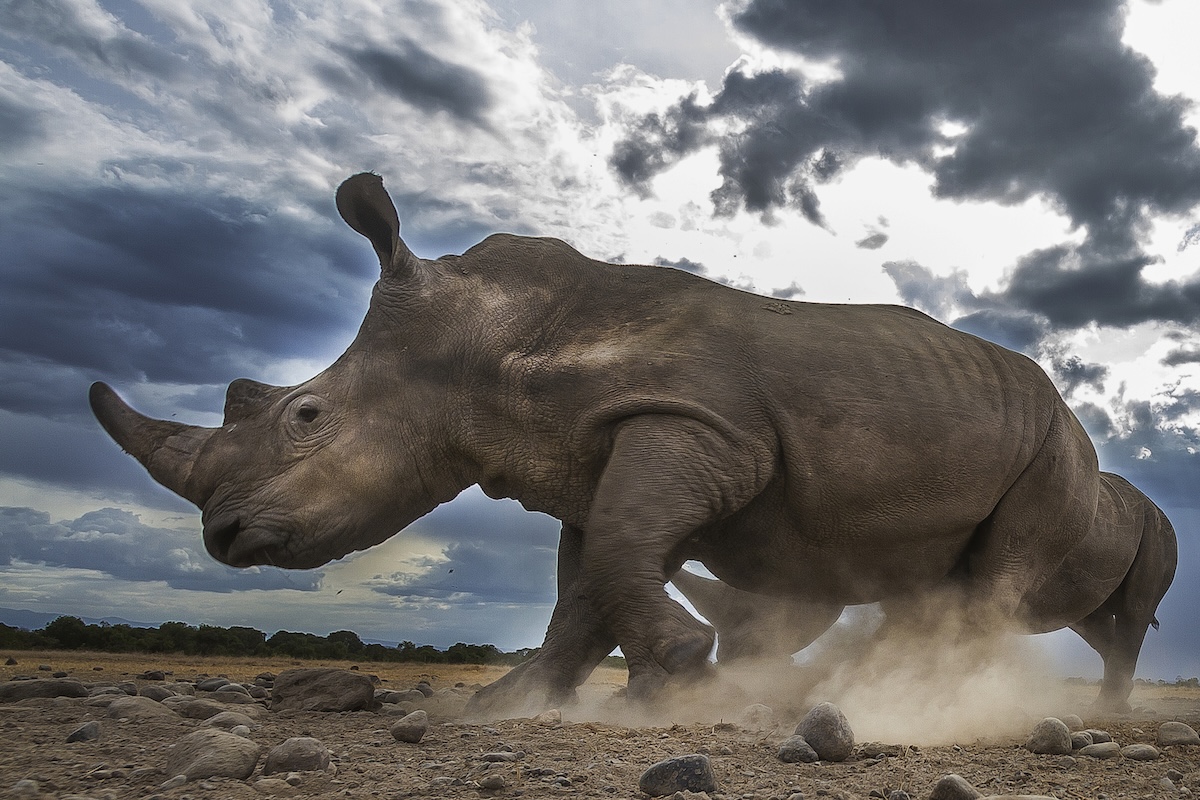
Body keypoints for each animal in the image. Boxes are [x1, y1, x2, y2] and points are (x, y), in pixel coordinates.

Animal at [91, 172, 1106, 715]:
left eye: (304, 417)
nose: (222, 537)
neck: (486, 339)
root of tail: (1064, 403)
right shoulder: (581, 458)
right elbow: (584, 583)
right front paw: (515, 704)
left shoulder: (697, 425)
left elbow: (619, 551)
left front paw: (676, 676)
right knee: (934, 583)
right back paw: (892, 694)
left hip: (1061, 446)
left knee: (995, 578)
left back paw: (929, 704)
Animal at [671, 470, 1177, 710]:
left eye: (770, 616)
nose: (733, 664)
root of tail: (1152, 505)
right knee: (1091, 621)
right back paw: (1117, 697)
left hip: (1158, 527)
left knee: (1134, 611)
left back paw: (1107, 706)